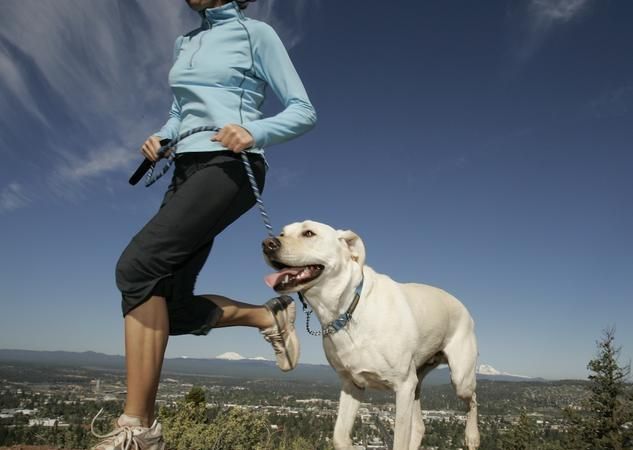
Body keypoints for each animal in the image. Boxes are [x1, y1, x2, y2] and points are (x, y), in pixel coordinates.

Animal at [262, 221, 478, 450]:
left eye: (309, 233)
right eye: (282, 233)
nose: (267, 244)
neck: (347, 309)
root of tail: (462, 305)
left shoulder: (403, 387)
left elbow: (399, 440)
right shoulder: (353, 384)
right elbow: (339, 437)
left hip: (460, 378)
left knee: (472, 398)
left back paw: (472, 436)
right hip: (417, 382)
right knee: (420, 426)